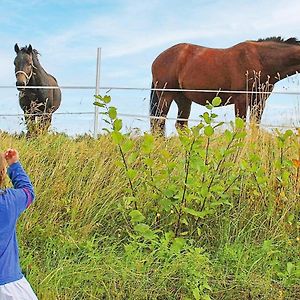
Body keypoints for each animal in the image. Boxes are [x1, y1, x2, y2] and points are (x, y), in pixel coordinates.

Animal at [150, 36, 300, 132]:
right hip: (166, 96)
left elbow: (254, 127)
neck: (260, 59)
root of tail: (158, 59)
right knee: (159, 124)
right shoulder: (241, 100)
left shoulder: (259, 102)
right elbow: (241, 128)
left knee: (181, 125)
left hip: (183, 99)